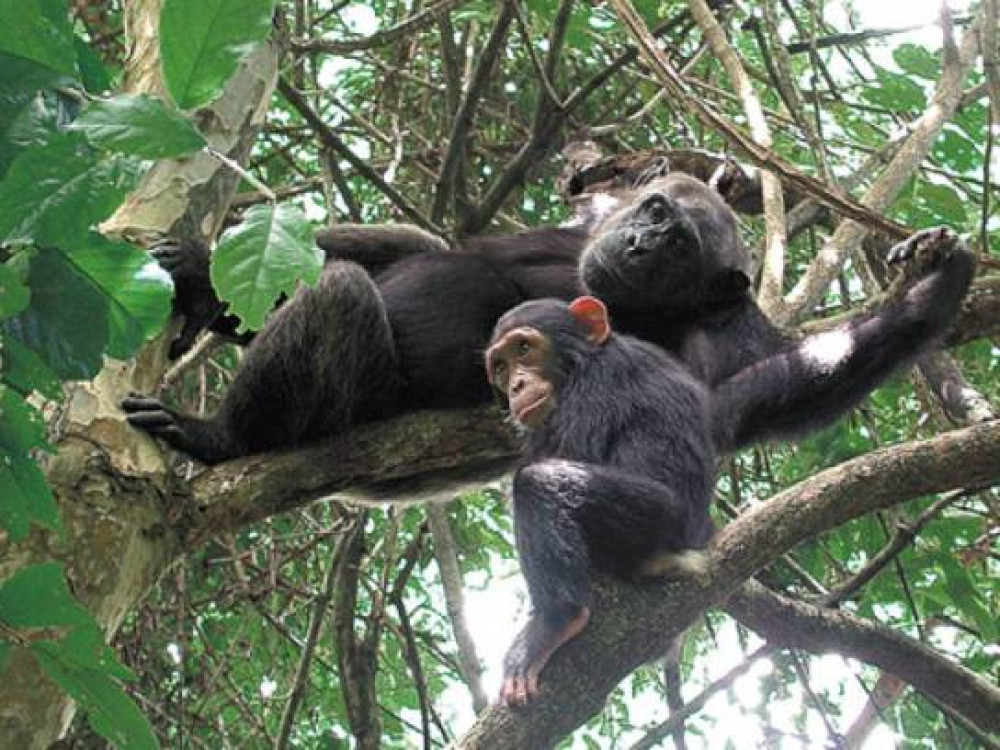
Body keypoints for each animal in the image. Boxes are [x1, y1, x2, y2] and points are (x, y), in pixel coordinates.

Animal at [488, 228, 972, 704]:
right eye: (500, 366)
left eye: (525, 348)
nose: (516, 385)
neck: (579, 364)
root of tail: (697, 538)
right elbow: (795, 375)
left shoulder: (589, 396)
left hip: (657, 519)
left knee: (539, 485)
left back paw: (555, 622)